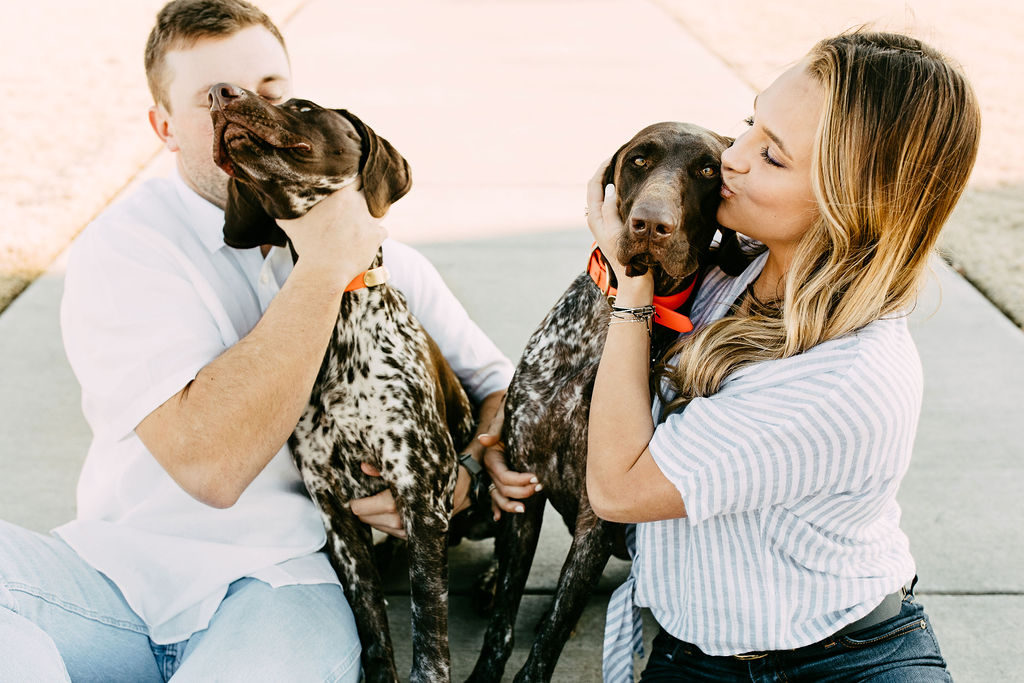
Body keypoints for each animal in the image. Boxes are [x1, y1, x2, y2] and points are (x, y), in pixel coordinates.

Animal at [214, 82, 477, 679]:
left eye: (302, 107)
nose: (220, 94)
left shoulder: (421, 494)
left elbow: (429, 626)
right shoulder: (333, 509)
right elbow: (371, 622)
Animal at [468, 122, 741, 683]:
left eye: (708, 170)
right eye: (638, 160)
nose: (652, 225)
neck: (605, 328)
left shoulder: (598, 518)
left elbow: (550, 632)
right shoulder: (524, 486)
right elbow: (503, 623)